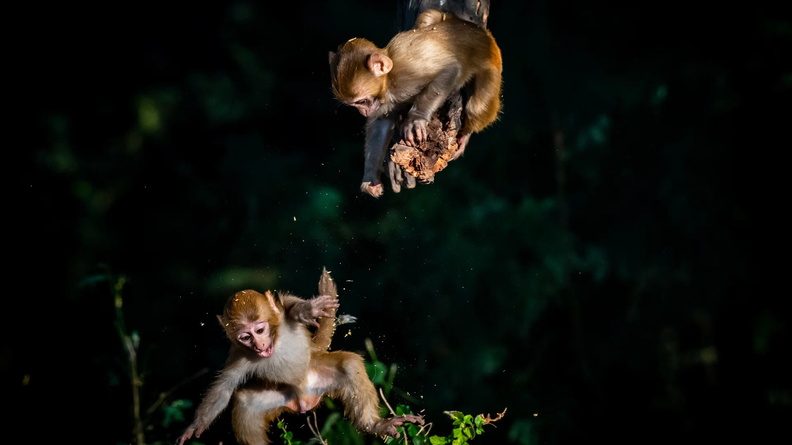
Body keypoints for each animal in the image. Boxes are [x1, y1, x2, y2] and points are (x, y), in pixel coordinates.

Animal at [176, 282, 423, 444]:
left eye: (259, 330)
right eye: (246, 336)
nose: (259, 345)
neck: (275, 341)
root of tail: (304, 400)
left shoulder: (281, 314)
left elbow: (290, 304)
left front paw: (306, 310)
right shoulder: (240, 357)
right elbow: (224, 388)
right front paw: (195, 426)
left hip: (320, 377)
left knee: (350, 364)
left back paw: (373, 425)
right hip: (281, 398)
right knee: (245, 403)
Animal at [329, 9, 503, 198]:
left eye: (361, 101)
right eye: (354, 105)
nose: (363, 113)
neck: (389, 80)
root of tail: (483, 33)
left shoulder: (409, 71)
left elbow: (450, 70)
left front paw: (416, 119)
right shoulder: (384, 101)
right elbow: (380, 125)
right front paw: (370, 177)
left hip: (491, 67)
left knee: (477, 104)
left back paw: (465, 135)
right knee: (427, 16)